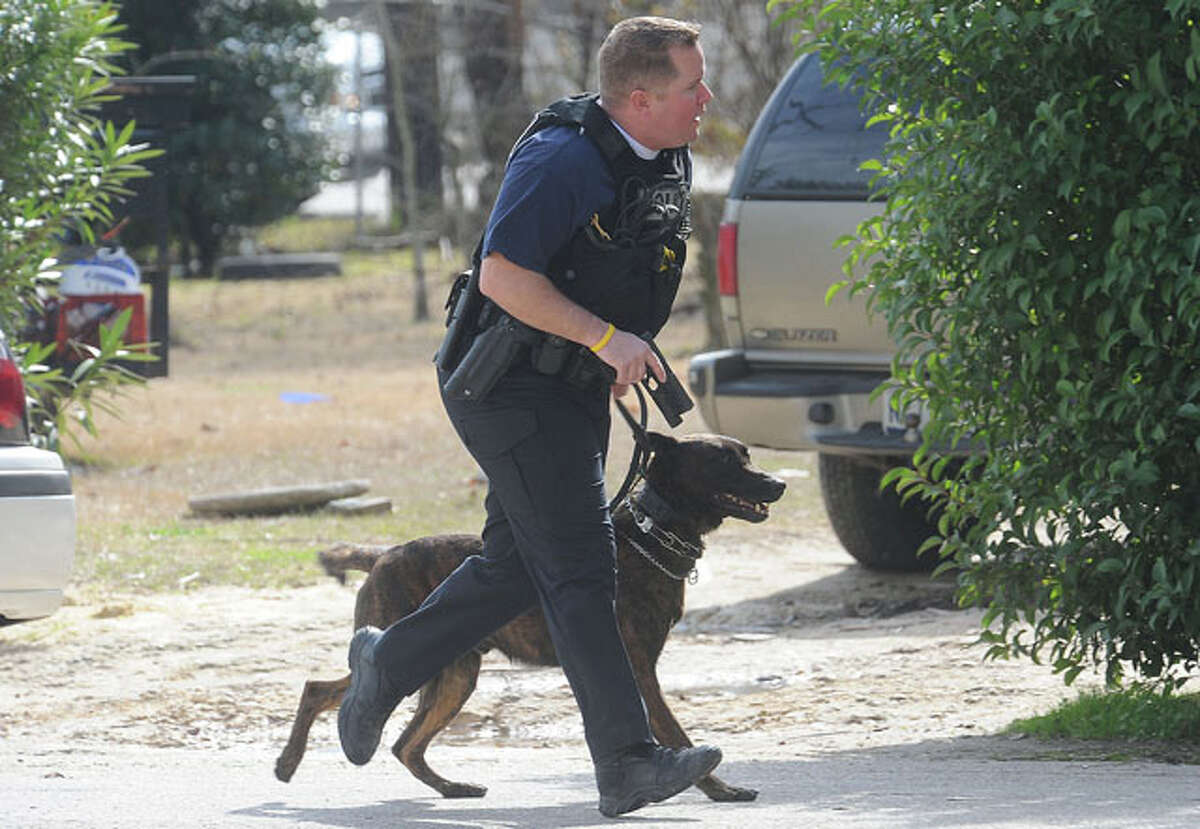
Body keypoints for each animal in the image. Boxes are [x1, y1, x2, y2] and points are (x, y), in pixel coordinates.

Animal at [276, 434, 792, 806]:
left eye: (747, 456)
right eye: (725, 463)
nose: (779, 484)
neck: (653, 530)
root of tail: (384, 554)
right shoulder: (639, 669)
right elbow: (674, 731)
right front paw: (716, 788)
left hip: (454, 676)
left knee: (406, 744)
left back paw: (451, 788)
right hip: (420, 659)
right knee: (322, 690)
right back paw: (289, 761)